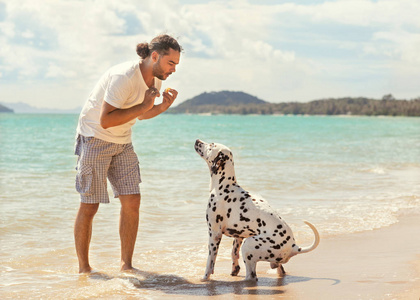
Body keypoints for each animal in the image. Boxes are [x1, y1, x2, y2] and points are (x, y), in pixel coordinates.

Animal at [195, 140, 320, 282]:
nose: (197, 141)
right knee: (278, 270)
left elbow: (210, 261)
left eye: (211, 145)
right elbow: (233, 253)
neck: (224, 186)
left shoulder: (214, 234)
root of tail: (294, 247)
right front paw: (234, 269)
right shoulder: (239, 236)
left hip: (248, 246)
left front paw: (205, 277)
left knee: (251, 276)